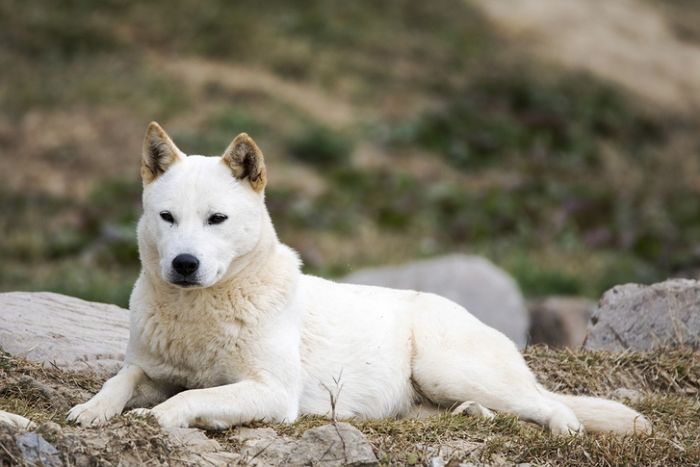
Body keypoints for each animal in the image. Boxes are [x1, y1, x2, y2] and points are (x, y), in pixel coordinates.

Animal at [69, 122, 652, 436]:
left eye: (217, 219)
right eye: (167, 217)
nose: (184, 264)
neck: (198, 313)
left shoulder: (271, 393)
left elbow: (184, 401)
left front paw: (158, 420)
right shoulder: (150, 369)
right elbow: (120, 380)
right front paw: (91, 410)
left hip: (448, 369)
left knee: (550, 404)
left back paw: (563, 428)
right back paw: (475, 416)